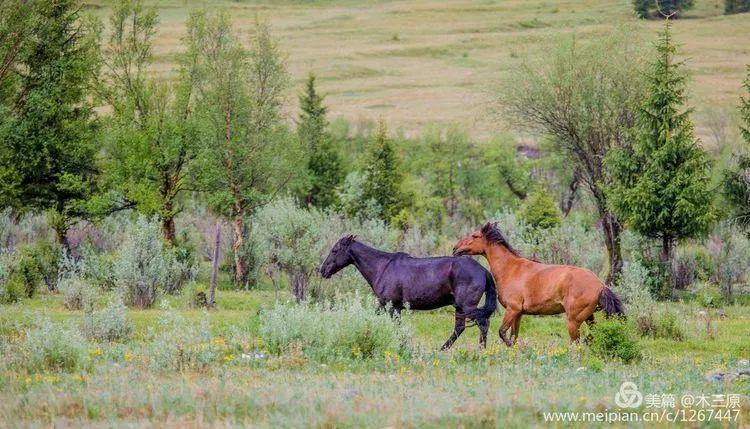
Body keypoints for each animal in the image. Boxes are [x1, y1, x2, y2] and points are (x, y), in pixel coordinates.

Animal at [318, 236, 500, 350]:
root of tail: (484, 270)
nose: (322, 270)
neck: (382, 267)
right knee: (460, 328)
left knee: (482, 324)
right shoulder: (389, 306)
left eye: (335, 250)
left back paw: (481, 350)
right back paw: (442, 349)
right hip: (460, 307)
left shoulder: (391, 306)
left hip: (467, 306)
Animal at [456, 221, 624, 344]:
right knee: (592, 335)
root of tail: (600, 285)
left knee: (576, 343)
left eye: (475, 235)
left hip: (573, 321)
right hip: (589, 317)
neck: (510, 269)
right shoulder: (518, 313)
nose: (456, 248)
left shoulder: (512, 309)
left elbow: (503, 333)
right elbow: (513, 336)